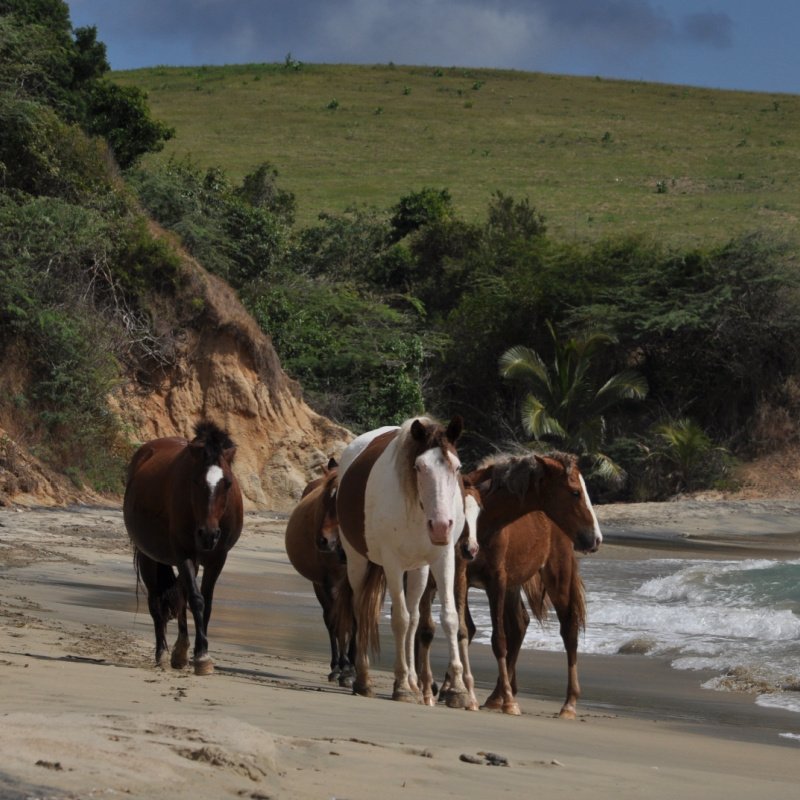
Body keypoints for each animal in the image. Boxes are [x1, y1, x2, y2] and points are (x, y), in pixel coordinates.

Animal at [123, 418, 242, 676]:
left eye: (227, 483)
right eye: (195, 481)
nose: (208, 535)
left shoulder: (218, 559)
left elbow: (205, 602)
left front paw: (198, 653)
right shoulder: (184, 554)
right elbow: (196, 599)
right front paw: (201, 656)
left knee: (179, 596)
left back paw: (180, 651)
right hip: (149, 558)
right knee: (156, 602)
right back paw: (163, 653)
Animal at [284, 460, 354, 684]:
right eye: (324, 501)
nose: (324, 541)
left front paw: (352, 668)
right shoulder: (331, 584)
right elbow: (340, 623)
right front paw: (344, 668)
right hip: (319, 585)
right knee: (330, 620)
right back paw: (336, 666)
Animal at [334, 416, 472, 708]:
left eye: (457, 467)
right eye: (419, 467)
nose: (441, 526)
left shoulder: (443, 558)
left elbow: (448, 618)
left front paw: (457, 689)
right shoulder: (392, 563)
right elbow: (399, 619)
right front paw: (401, 686)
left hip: (418, 568)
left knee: (415, 617)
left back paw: (414, 681)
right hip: (357, 561)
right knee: (361, 611)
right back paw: (364, 679)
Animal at [418, 454, 600, 716]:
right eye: (575, 492)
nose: (594, 538)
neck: (487, 524)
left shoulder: (497, 579)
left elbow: (497, 639)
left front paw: (501, 700)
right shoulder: (461, 575)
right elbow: (463, 628)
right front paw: (452, 689)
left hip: (557, 574)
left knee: (568, 629)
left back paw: (567, 703)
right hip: (515, 584)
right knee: (519, 624)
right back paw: (497, 695)